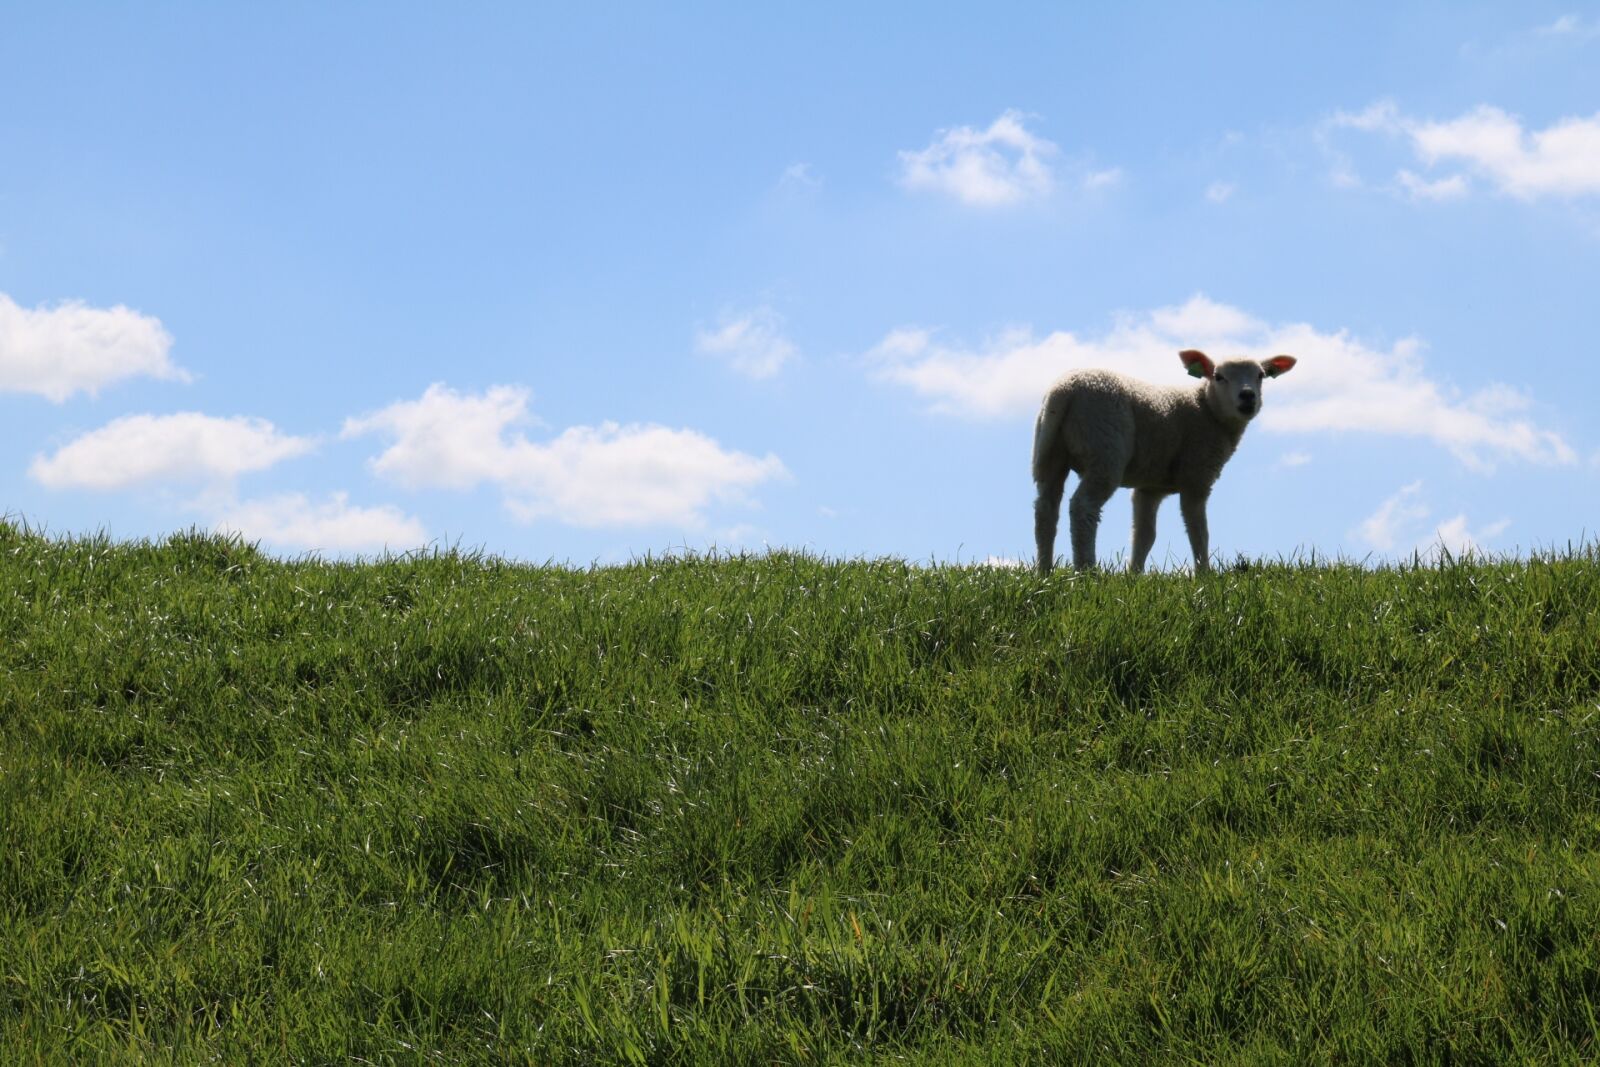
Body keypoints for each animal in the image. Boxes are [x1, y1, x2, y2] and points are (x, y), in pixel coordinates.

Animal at [1032, 349, 1297, 575]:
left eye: (1261, 375)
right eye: (1219, 377)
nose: (1248, 396)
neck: (1207, 411)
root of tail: (1064, 391)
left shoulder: (1150, 487)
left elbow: (1144, 534)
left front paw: (1134, 575)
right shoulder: (1196, 475)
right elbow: (1199, 530)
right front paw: (1204, 575)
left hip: (1048, 453)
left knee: (1045, 508)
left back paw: (1045, 572)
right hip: (1105, 449)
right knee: (1083, 507)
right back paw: (1086, 571)